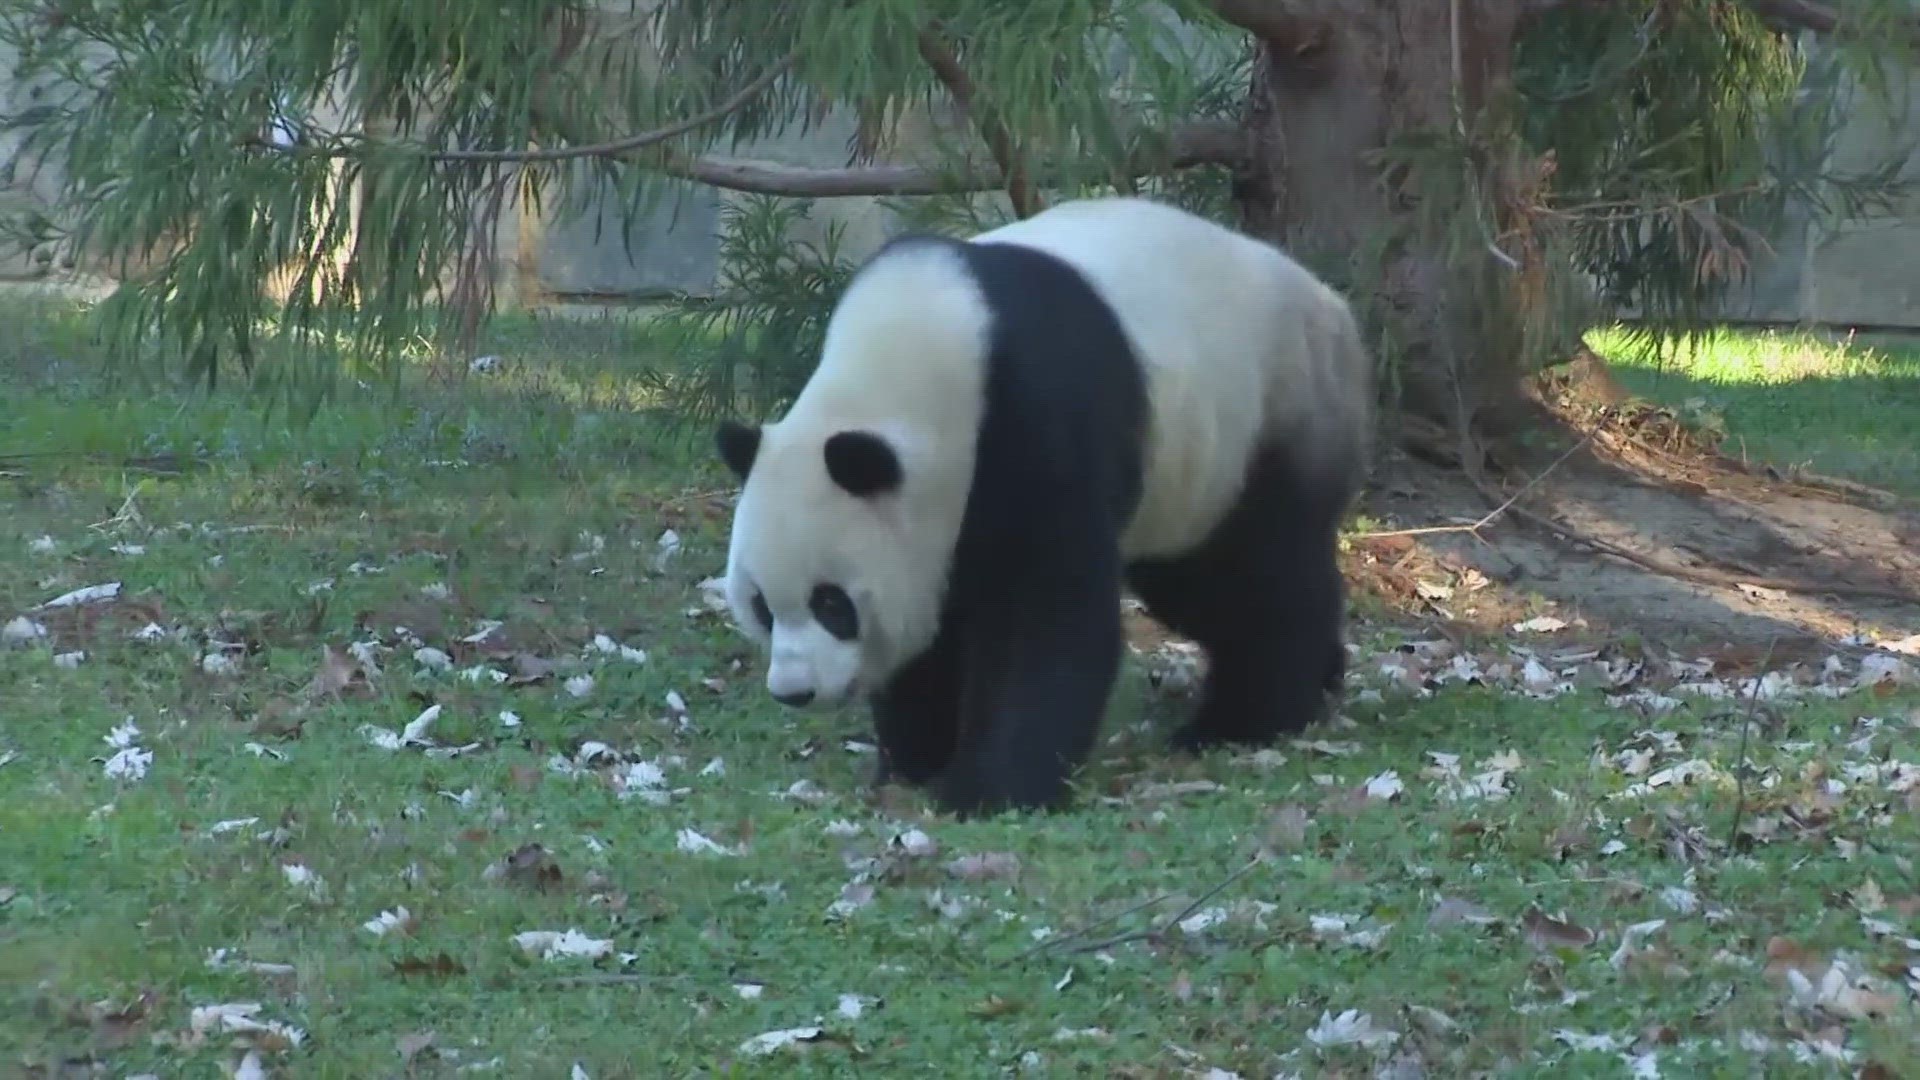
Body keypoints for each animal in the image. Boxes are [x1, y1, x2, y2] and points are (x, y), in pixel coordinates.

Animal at [718, 195, 1367, 814]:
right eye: (762, 607)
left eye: (832, 604)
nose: (795, 691)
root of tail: (1335, 308)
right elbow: (932, 636)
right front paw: (916, 758)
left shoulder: (1035, 415)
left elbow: (1049, 614)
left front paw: (987, 789)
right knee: (1193, 585)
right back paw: (1320, 672)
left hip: (1262, 417)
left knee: (1260, 574)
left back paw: (1249, 718)